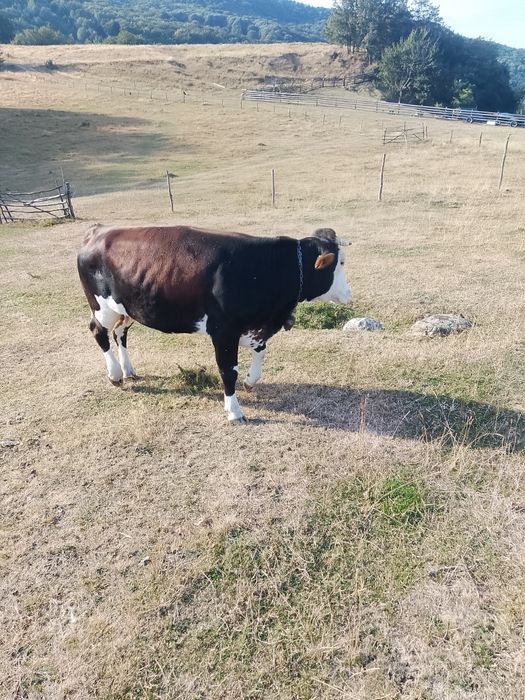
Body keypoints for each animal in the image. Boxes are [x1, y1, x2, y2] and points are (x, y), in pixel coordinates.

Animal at [77, 224, 351, 424]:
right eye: (340, 263)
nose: (349, 293)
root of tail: (98, 230)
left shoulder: (254, 326)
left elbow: (260, 353)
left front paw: (250, 380)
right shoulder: (224, 330)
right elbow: (228, 371)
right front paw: (234, 411)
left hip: (129, 308)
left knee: (120, 333)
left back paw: (128, 370)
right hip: (102, 306)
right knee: (98, 331)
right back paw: (115, 375)